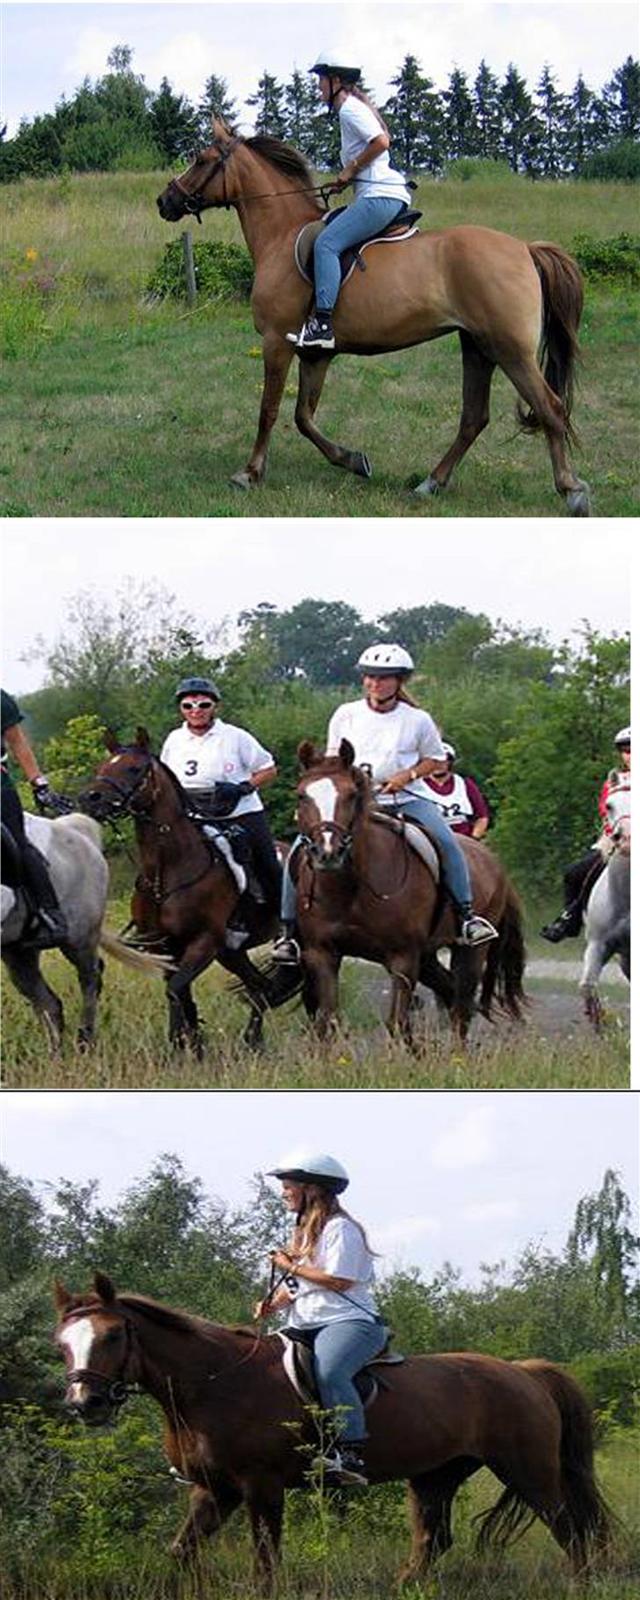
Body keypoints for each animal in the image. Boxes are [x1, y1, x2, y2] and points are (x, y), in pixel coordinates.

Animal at [53, 1273, 611, 1587]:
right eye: (62, 1341)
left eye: (112, 1334)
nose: (85, 1404)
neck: (213, 1382)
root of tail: (523, 1372)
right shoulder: (215, 1490)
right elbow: (182, 1553)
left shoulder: (260, 1487)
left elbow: (265, 1565)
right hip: (435, 1475)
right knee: (432, 1539)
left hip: (527, 1470)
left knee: (569, 1528)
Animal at [78, 732, 297, 1056]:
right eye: (102, 766)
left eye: (134, 768)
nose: (90, 799)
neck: (168, 874)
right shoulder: (167, 945)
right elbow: (181, 993)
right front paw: (191, 1045)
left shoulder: (204, 943)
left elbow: (175, 990)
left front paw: (182, 1047)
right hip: (231, 952)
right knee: (260, 988)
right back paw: (252, 1041)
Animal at [156, 124, 588, 512]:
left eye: (201, 159)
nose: (165, 200)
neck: (280, 236)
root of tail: (525, 248)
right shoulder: (316, 354)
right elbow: (303, 417)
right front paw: (353, 461)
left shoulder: (276, 342)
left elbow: (270, 410)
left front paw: (249, 473)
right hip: (477, 346)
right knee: (473, 417)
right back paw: (430, 483)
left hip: (510, 350)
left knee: (549, 408)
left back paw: (571, 491)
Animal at [289, 739, 524, 1043]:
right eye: (301, 796)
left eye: (351, 795)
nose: (327, 852)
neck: (351, 891)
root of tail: (492, 860)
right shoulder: (322, 954)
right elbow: (327, 1022)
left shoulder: (403, 957)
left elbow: (398, 1023)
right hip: (427, 958)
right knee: (451, 993)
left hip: (470, 952)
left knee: (461, 1008)